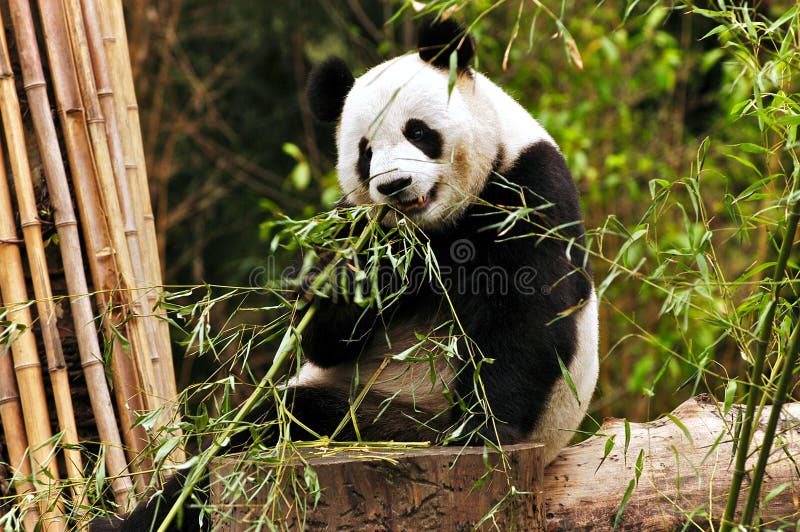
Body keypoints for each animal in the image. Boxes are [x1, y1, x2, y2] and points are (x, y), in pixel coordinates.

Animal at [92, 17, 592, 532]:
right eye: (365, 153)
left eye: (418, 131)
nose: (394, 185)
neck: (434, 230)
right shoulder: (358, 225)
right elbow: (328, 334)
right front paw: (336, 284)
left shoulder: (527, 186)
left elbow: (528, 313)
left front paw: (482, 427)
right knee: (252, 434)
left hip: (399, 419)